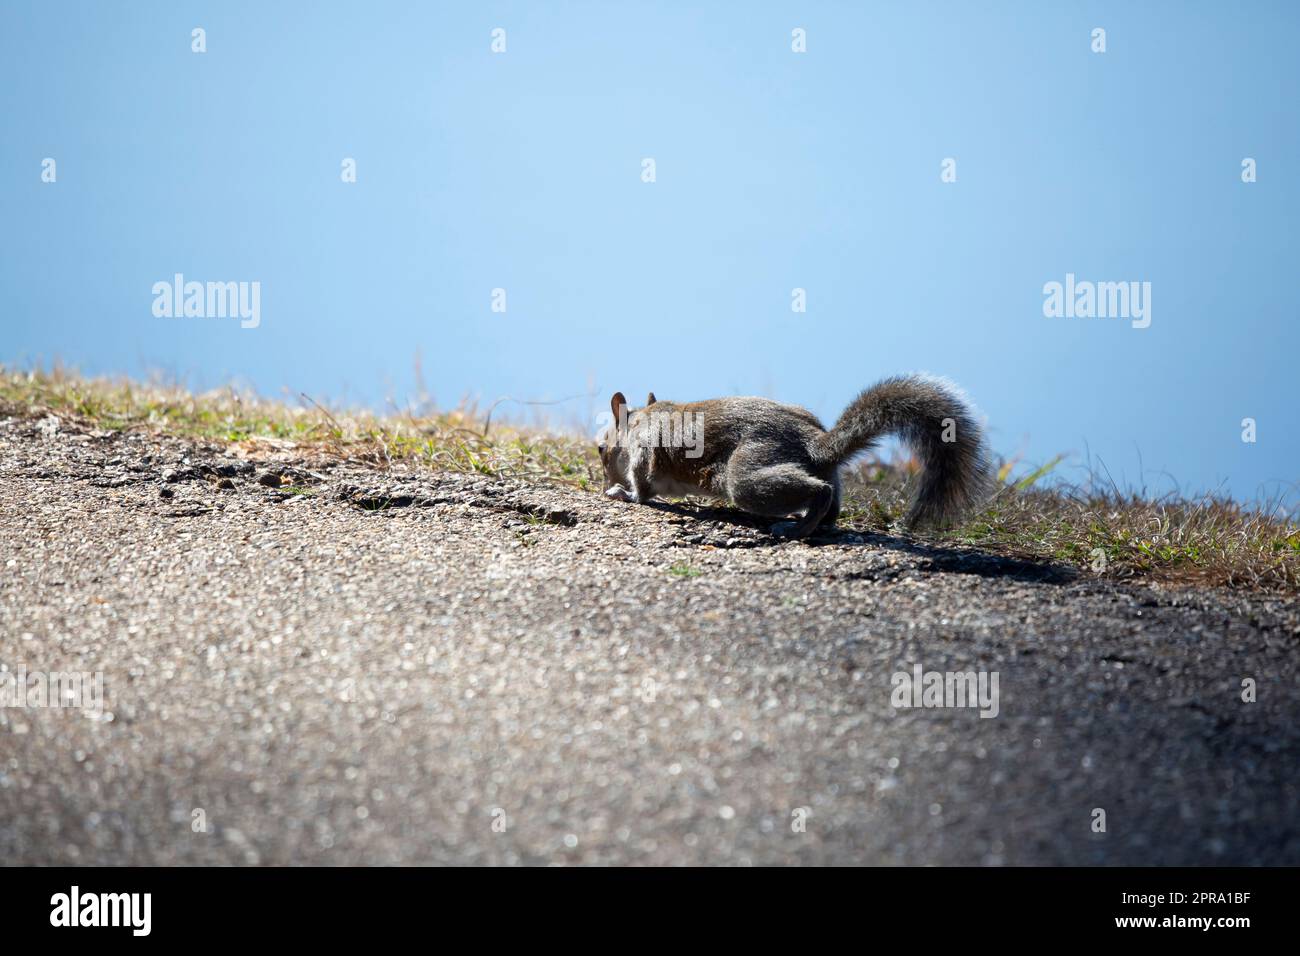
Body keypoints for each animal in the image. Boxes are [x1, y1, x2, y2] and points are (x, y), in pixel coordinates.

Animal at [596, 374, 991, 539]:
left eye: (601, 448)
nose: (603, 482)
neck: (639, 422)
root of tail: (817, 444)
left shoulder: (644, 450)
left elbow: (643, 484)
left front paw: (624, 493)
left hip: (747, 470)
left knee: (819, 493)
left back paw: (795, 527)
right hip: (822, 473)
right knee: (831, 505)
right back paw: (810, 520)